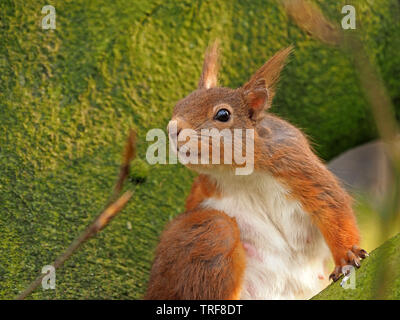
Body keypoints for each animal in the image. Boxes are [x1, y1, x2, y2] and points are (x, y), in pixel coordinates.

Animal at [145, 42, 368, 300]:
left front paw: (347, 258)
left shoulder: (295, 166)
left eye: (223, 114)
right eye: (178, 106)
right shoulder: (202, 188)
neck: (238, 173)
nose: (173, 128)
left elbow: (330, 206)